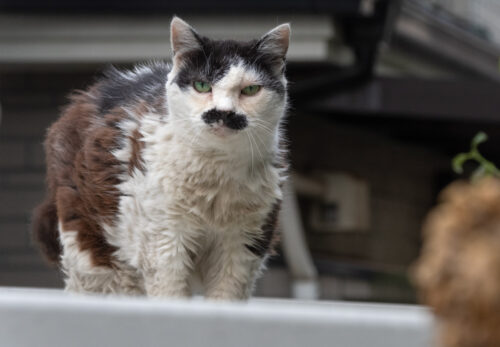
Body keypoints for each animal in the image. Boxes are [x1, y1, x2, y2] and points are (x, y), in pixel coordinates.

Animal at [32, 15, 290, 300]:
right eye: (202, 85)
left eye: (251, 90)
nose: (223, 113)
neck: (218, 169)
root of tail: (80, 99)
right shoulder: (164, 240)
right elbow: (170, 293)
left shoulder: (243, 245)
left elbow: (225, 297)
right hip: (94, 254)